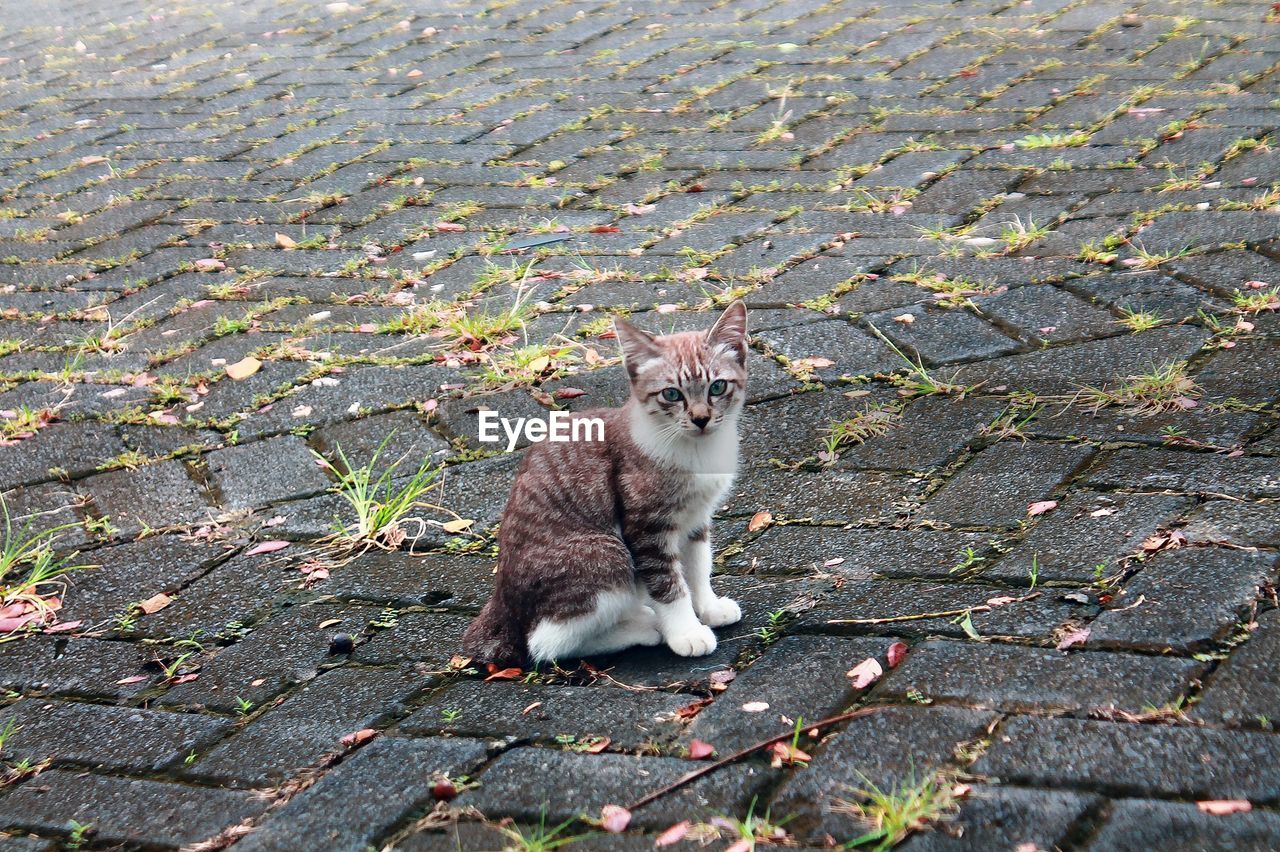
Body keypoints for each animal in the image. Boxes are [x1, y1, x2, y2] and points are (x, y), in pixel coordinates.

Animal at [465, 301, 747, 665]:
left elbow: (698, 565)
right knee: (546, 643)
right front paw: (686, 632)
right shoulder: (646, 527)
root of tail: (501, 605)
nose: (701, 419)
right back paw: (643, 628)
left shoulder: (697, 517)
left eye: (717, 387)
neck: (695, 451)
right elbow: (668, 583)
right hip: (606, 555)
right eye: (671, 394)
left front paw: (708, 607)